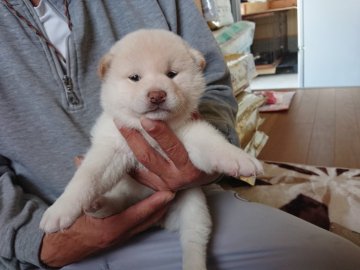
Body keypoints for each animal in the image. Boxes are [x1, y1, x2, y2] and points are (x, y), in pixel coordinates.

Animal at [40, 28, 262, 268]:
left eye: (172, 74)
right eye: (135, 78)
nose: (157, 95)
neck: (148, 131)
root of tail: (160, 221)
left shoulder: (191, 135)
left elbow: (213, 144)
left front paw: (240, 159)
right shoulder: (111, 149)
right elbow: (86, 178)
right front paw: (60, 209)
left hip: (194, 207)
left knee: (194, 241)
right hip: (123, 191)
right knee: (115, 206)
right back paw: (98, 204)